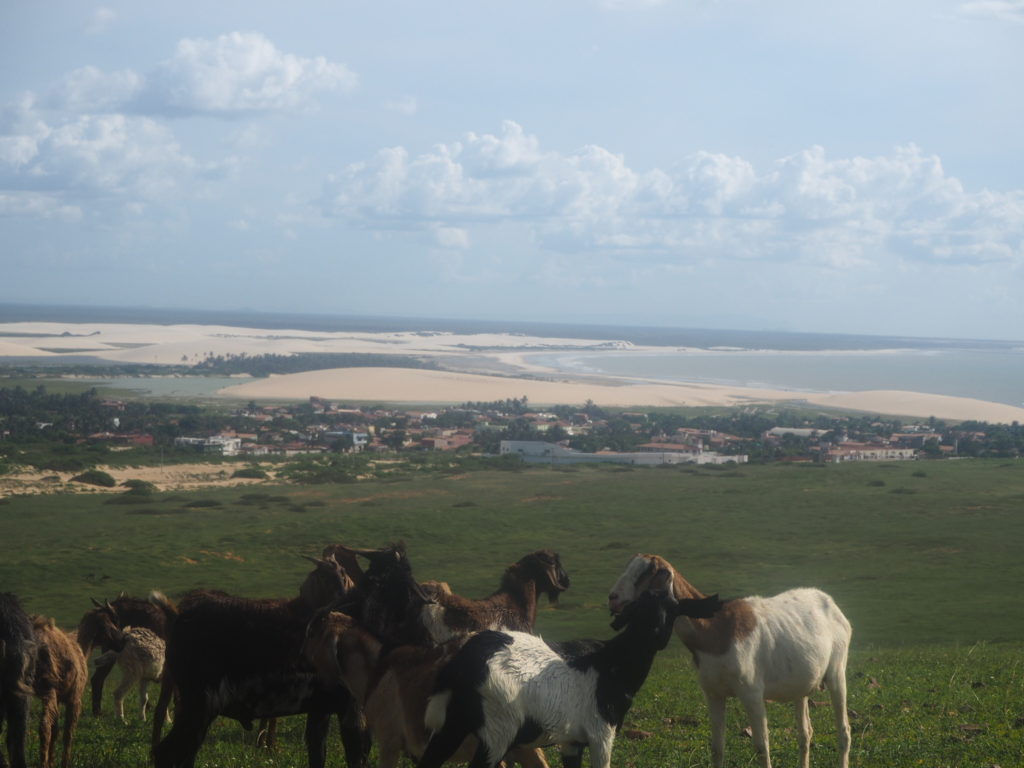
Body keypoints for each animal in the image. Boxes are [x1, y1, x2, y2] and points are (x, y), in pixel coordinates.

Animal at [30, 618, 87, 768]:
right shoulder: (74, 699)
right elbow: (68, 732)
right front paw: (63, 763)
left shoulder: (58, 697)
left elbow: (56, 729)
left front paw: (52, 761)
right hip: (48, 685)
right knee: (44, 725)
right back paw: (43, 763)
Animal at [415, 577, 720, 768]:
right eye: (640, 607)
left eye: (674, 609)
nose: (656, 634)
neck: (613, 662)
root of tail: (465, 660)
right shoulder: (601, 733)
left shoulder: (572, 741)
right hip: (498, 727)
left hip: (452, 722)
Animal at [606, 552, 847, 768]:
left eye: (646, 572)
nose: (613, 598)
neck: (716, 628)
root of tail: (831, 604)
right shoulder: (714, 693)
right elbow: (717, 747)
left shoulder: (751, 693)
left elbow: (762, 746)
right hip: (801, 688)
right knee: (805, 734)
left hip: (837, 672)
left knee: (844, 732)